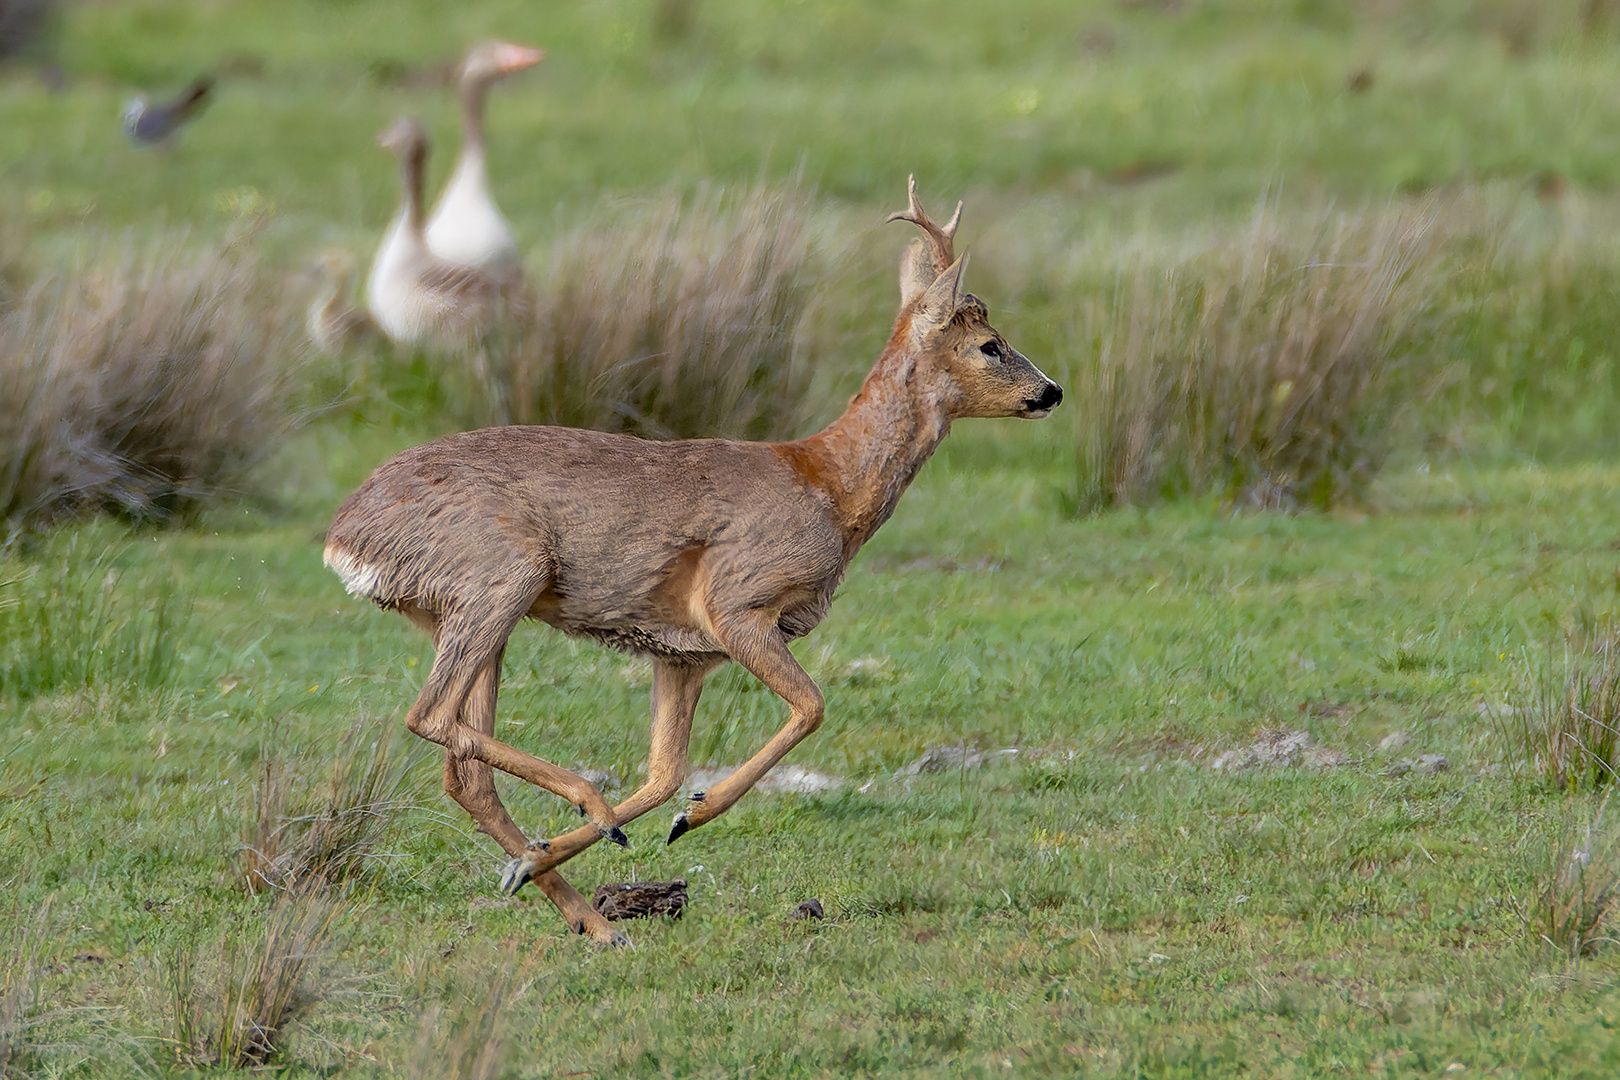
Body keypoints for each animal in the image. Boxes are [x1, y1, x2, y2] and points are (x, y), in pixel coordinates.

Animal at [328, 179, 1062, 945]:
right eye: (989, 344)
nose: (1052, 391)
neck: (827, 484)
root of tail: (346, 533)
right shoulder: (738, 607)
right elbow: (810, 707)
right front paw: (688, 818)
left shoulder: (681, 655)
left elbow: (664, 772)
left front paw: (565, 850)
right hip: (503, 576)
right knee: (429, 714)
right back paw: (588, 823)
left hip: (467, 614)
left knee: (463, 770)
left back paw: (586, 910)